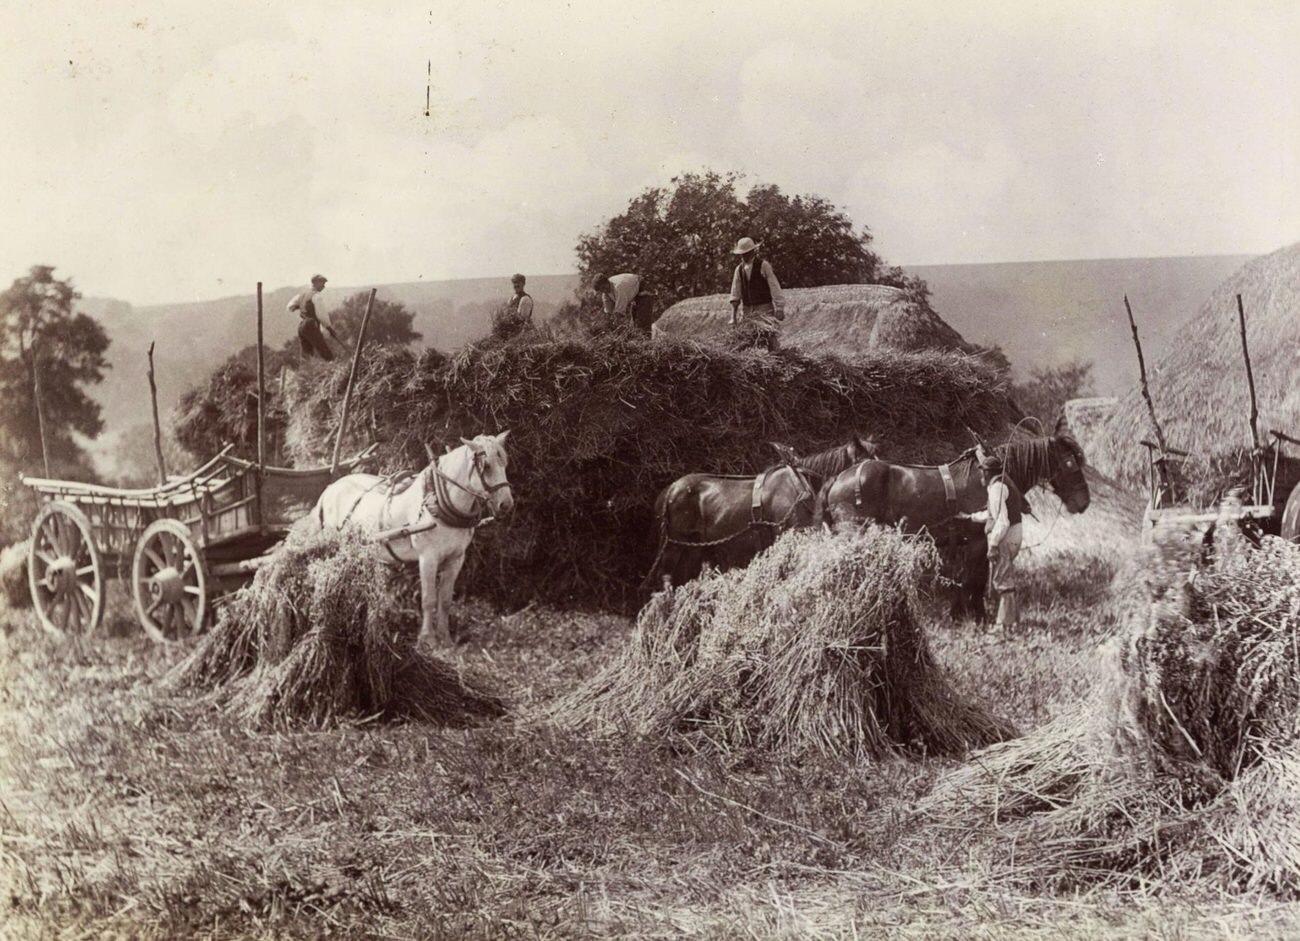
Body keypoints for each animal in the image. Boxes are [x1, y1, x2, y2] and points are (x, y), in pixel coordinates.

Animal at [312, 431, 514, 647]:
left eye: (504, 463)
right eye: (487, 466)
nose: (506, 505)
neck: (437, 503)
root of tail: (330, 487)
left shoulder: (456, 559)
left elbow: (445, 600)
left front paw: (445, 637)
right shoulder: (428, 558)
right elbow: (428, 599)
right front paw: (428, 639)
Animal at [650, 436, 883, 587]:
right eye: (866, 463)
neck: (803, 486)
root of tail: (669, 491)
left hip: (694, 549)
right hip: (675, 545)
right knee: (666, 578)